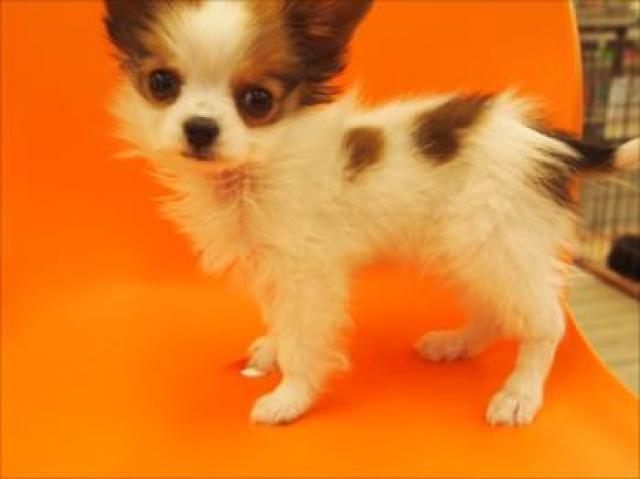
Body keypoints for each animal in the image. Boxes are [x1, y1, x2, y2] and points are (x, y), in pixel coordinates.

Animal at [104, 0, 639, 426]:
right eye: (161, 83)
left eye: (257, 100)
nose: (200, 128)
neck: (256, 169)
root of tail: (551, 141)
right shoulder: (273, 265)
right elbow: (282, 319)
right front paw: (273, 351)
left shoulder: (308, 273)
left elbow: (304, 336)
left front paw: (289, 397)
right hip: (468, 249)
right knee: (494, 310)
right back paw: (456, 343)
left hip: (495, 238)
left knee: (546, 321)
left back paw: (519, 394)